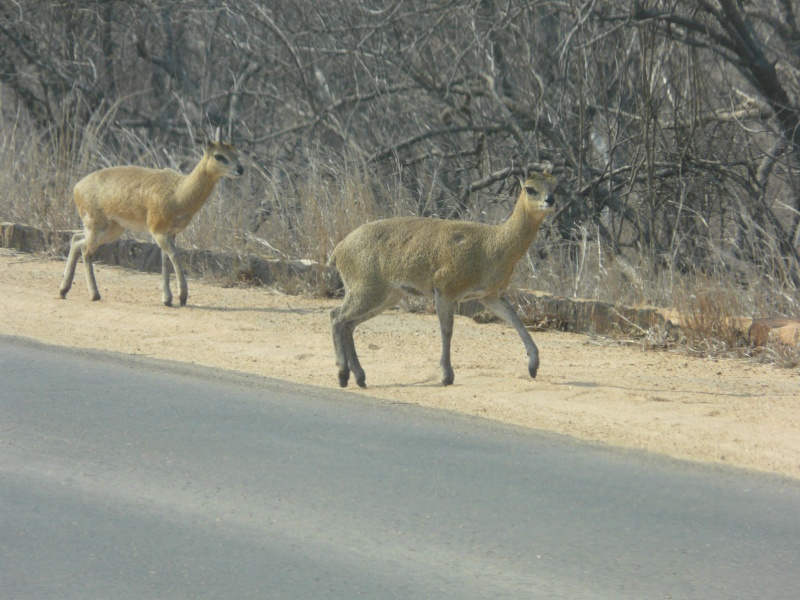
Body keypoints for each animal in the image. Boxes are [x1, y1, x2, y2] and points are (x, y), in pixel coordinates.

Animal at [59, 133, 242, 308]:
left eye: (236, 152)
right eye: (219, 156)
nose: (241, 169)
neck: (178, 192)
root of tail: (77, 187)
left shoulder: (171, 233)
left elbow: (165, 260)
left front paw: (167, 299)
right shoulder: (158, 231)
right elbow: (174, 256)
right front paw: (182, 297)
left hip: (112, 230)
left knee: (76, 240)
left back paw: (63, 290)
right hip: (97, 227)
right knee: (86, 251)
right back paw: (94, 294)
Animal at [328, 168, 560, 390]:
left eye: (554, 185)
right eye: (530, 188)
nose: (550, 200)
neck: (492, 246)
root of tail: (339, 249)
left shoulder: (490, 295)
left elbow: (515, 319)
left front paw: (533, 367)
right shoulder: (446, 291)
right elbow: (446, 331)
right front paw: (447, 376)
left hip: (388, 296)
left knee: (347, 323)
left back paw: (359, 377)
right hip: (368, 291)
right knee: (337, 317)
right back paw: (342, 375)